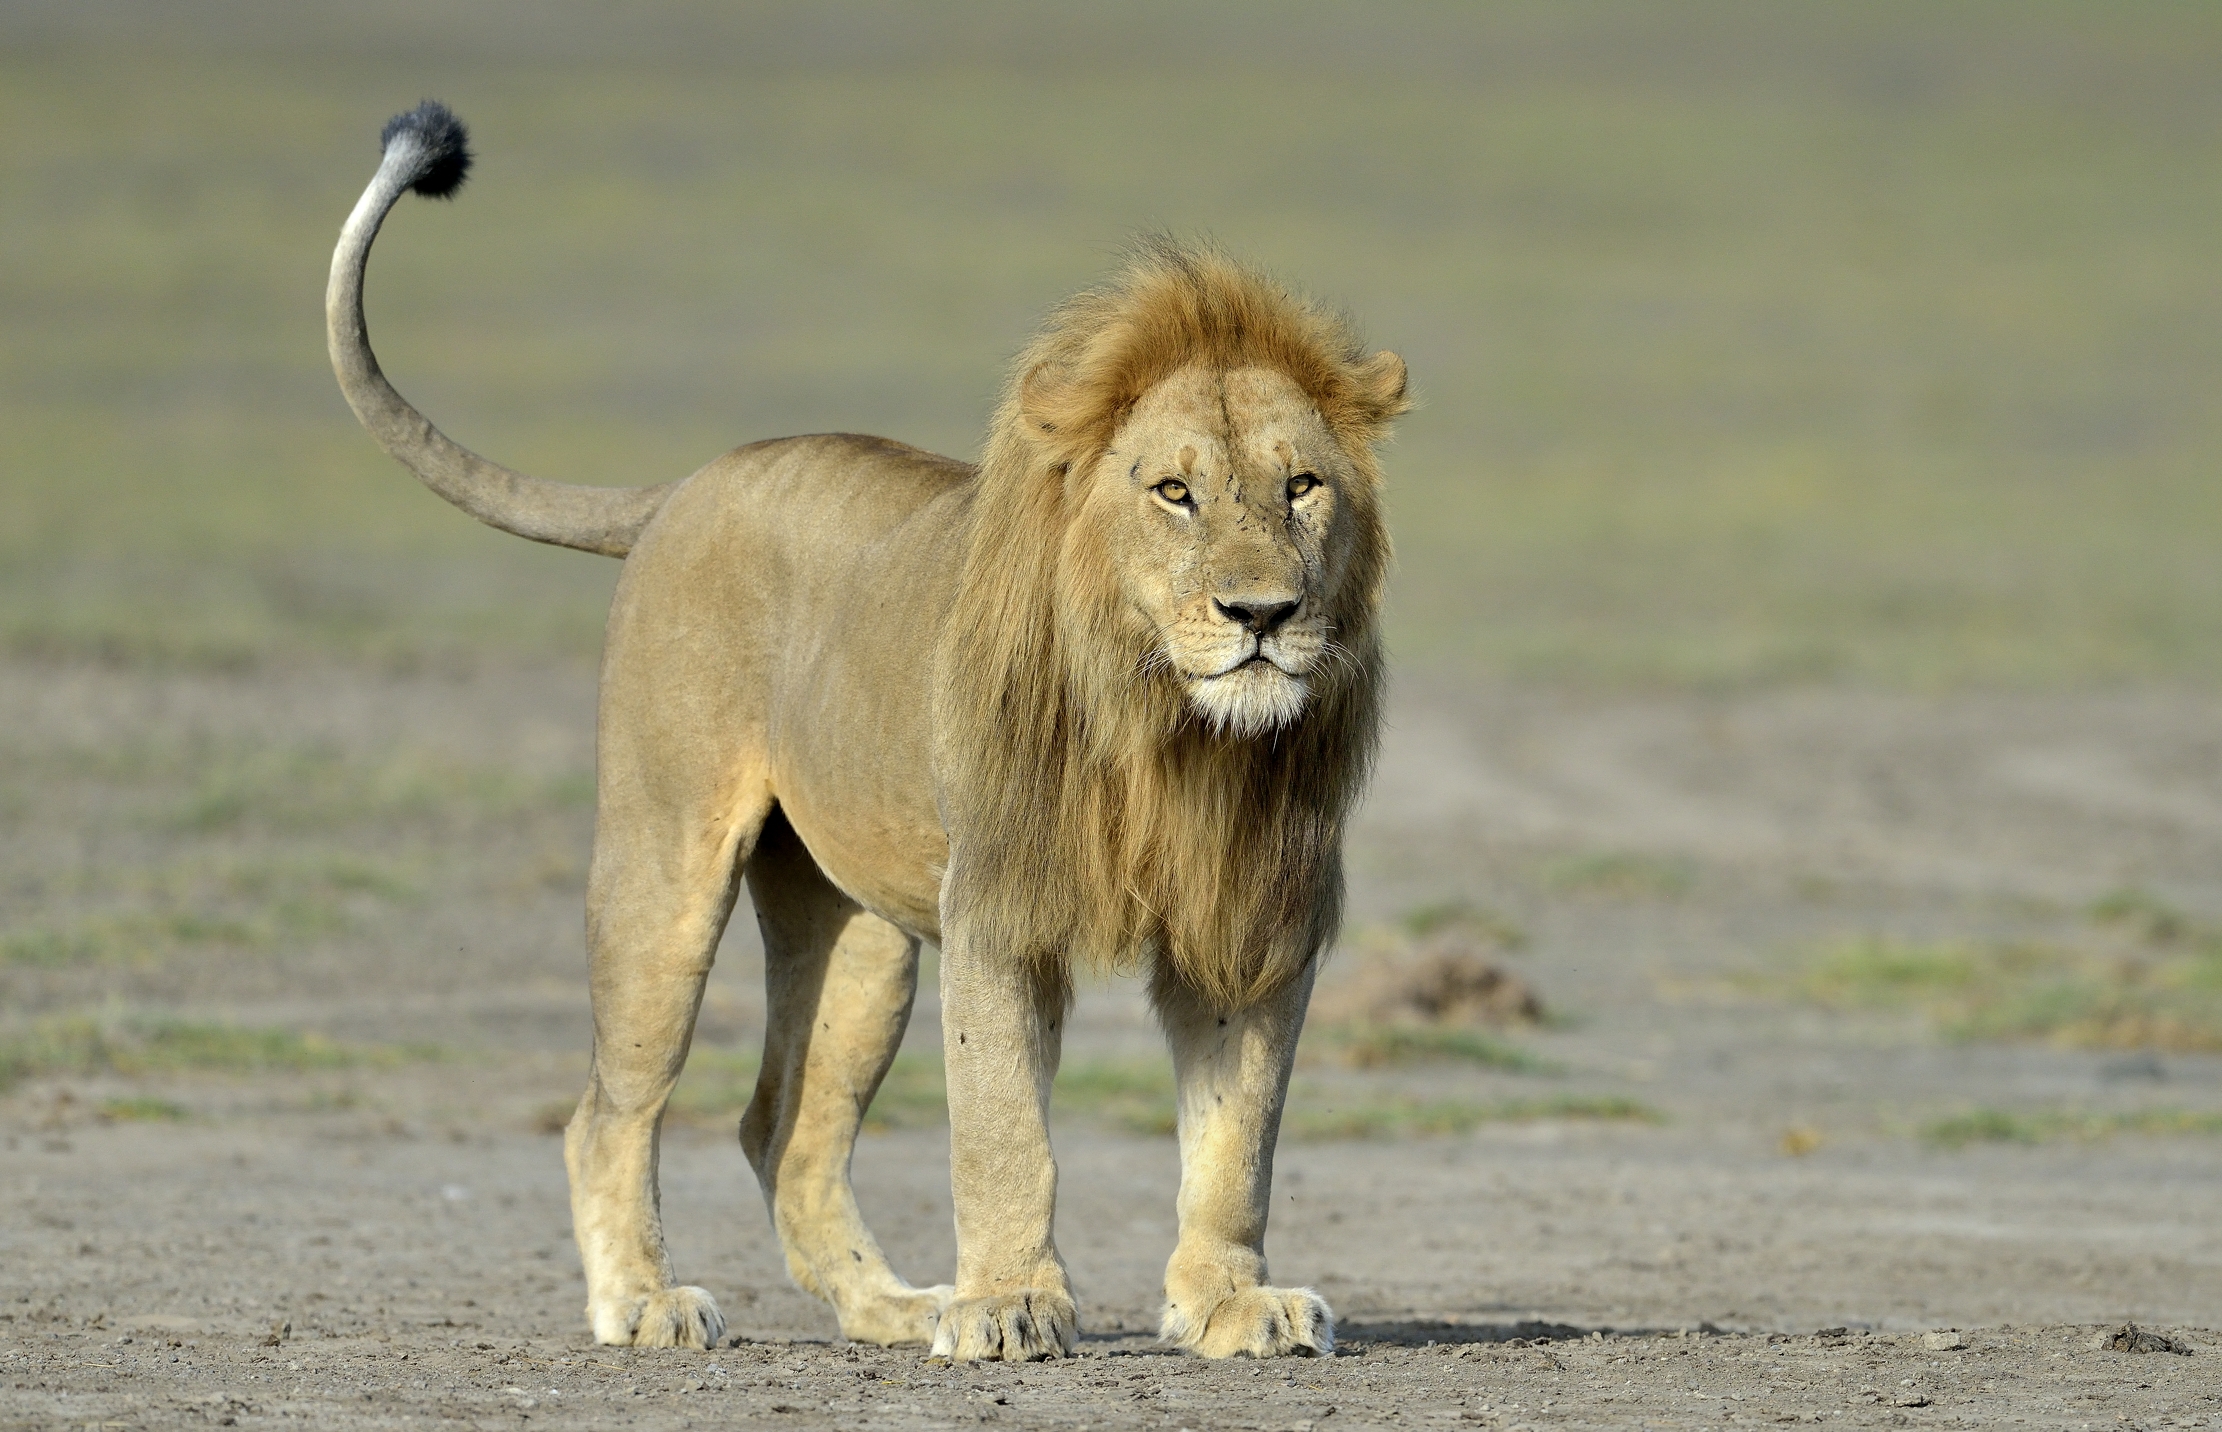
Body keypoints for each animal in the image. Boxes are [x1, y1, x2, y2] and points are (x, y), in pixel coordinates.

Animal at [327, 101, 1406, 1361]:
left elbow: (1236, 1139)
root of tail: (686, 482)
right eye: (1173, 492)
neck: (1167, 728)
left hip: (860, 937)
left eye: (1300, 487)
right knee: (609, 1110)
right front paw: (1008, 1304)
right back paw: (646, 1300)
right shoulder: (997, 906)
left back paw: (891, 1305)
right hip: (663, 868)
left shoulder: (1248, 918)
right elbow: (1003, 1131)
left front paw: (1229, 1301)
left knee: (783, 1127)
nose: (1261, 614)